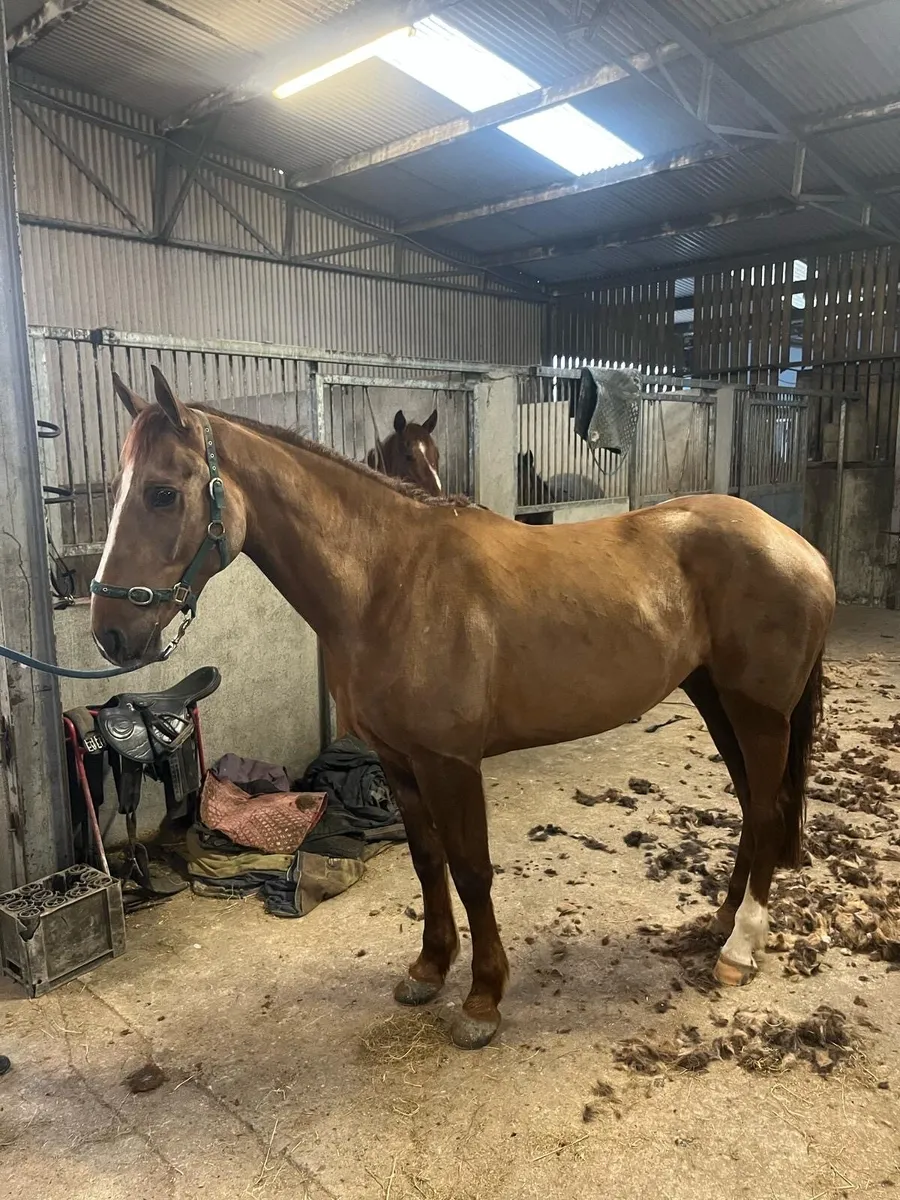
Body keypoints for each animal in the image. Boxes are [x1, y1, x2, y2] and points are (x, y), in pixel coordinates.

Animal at [92, 367, 836, 1051]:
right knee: (753, 806)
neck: (389, 580)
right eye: (117, 489)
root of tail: (799, 547)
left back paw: (739, 948)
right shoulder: (399, 760)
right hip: (716, 700)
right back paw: (724, 922)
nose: (110, 633)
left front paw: (482, 998)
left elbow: (472, 870)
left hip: (759, 715)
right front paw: (429, 969)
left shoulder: (451, 762)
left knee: (766, 811)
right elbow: (428, 861)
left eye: (163, 492)